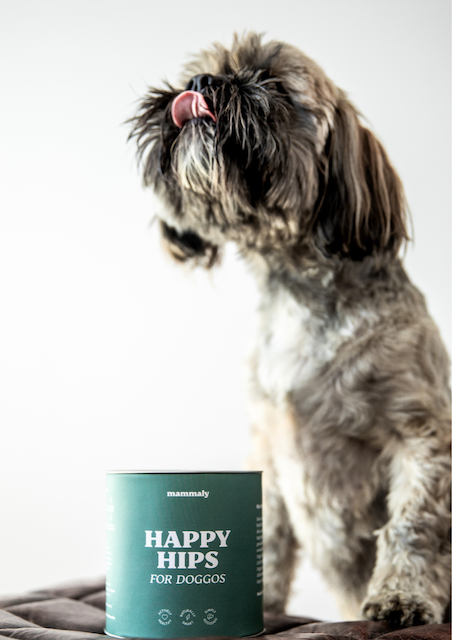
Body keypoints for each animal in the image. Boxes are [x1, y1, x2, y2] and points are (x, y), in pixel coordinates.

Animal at [129, 33, 450, 624]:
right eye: (202, 72)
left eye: (272, 83)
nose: (201, 85)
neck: (299, 297)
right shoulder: (269, 452)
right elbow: (270, 534)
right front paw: (263, 601)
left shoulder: (421, 435)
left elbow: (413, 524)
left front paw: (402, 595)